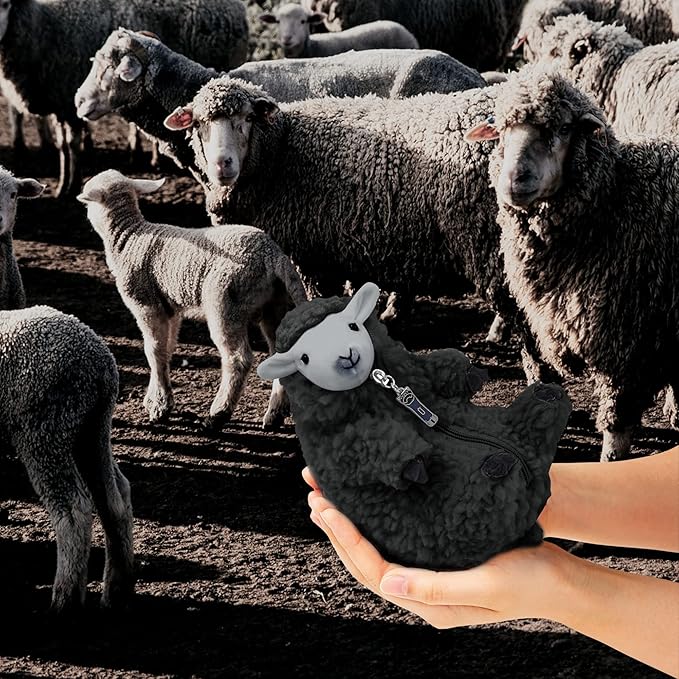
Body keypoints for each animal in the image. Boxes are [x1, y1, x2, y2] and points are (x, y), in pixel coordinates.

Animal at [0, 0, 249, 198]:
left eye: (6, 5)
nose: (79, 100)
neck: (43, 24)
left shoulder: (66, 104)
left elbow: (72, 146)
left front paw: (73, 185)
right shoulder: (60, 104)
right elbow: (63, 147)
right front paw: (62, 186)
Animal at [0, 305, 134, 611]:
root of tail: (99, 362)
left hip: (44, 431)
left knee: (73, 510)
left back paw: (65, 599)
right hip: (91, 430)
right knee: (116, 498)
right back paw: (117, 592)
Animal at [77, 169, 309, 430]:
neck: (129, 239)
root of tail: (273, 255)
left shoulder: (146, 303)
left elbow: (153, 350)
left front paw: (160, 408)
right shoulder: (170, 308)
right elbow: (167, 348)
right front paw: (155, 398)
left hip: (225, 301)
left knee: (237, 359)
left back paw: (218, 414)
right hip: (276, 306)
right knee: (281, 353)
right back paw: (274, 415)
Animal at [465, 66, 679, 461]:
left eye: (563, 129)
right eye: (502, 130)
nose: (514, 179)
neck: (613, 203)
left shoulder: (626, 340)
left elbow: (617, 424)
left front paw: (611, 461)